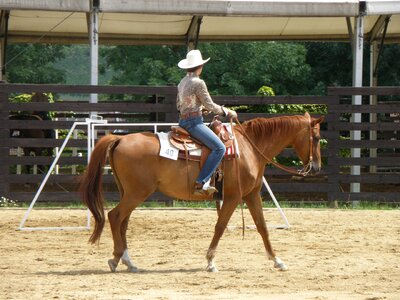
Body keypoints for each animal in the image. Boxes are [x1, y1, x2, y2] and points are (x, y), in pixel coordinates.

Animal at [79, 111, 324, 274]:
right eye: (316, 138)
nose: (317, 168)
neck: (249, 148)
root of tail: (120, 138)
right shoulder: (233, 197)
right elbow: (220, 226)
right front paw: (210, 261)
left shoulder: (251, 195)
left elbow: (262, 227)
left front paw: (277, 260)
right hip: (136, 193)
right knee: (115, 217)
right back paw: (116, 260)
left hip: (129, 193)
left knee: (123, 222)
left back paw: (128, 261)